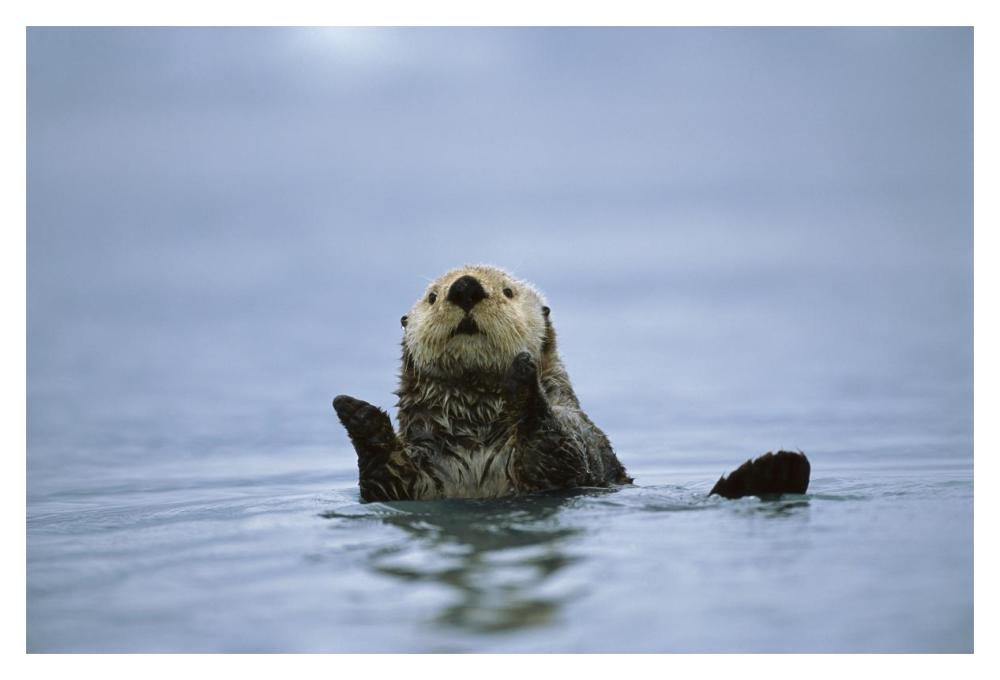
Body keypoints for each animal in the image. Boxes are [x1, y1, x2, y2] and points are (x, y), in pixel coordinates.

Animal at [332, 265, 809, 502]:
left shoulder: (569, 443)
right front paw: (354, 412)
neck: (475, 431)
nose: (464, 288)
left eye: (507, 291)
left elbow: (558, 448)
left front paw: (524, 377)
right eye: (433, 296)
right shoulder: (418, 476)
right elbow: (385, 477)